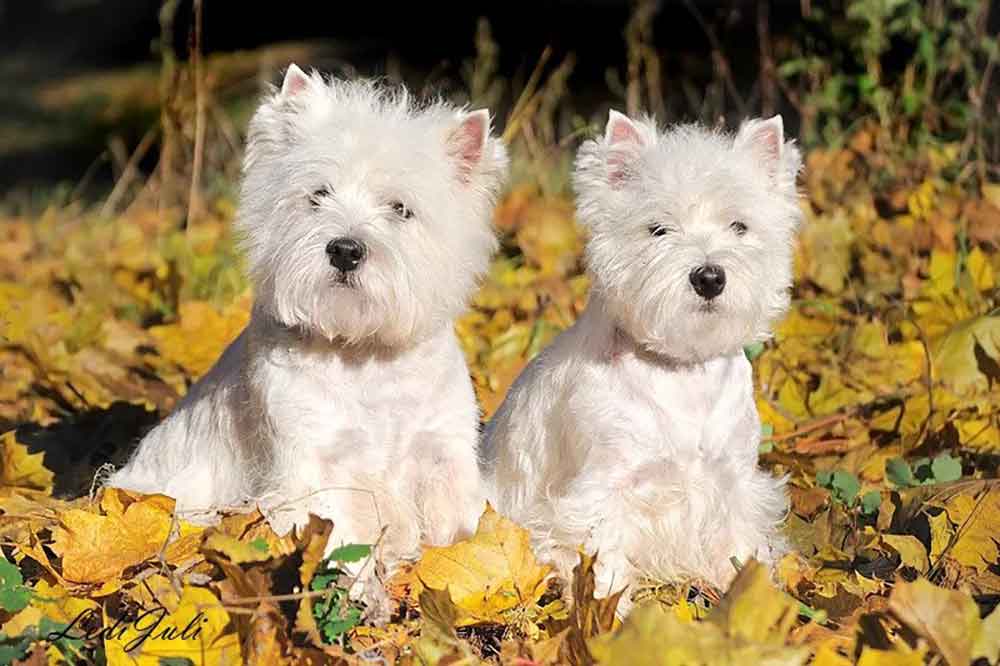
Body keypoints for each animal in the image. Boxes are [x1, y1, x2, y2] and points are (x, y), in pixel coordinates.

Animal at [111, 65, 508, 568]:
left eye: (401, 208)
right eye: (318, 194)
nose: (345, 250)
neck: (364, 354)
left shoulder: (442, 453)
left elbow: (467, 526)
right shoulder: (312, 461)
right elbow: (337, 533)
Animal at [484, 110, 804, 608]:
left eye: (739, 226)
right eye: (658, 229)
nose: (709, 277)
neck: (683, 371)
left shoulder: (733, 478)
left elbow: (739, 542)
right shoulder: (605, 487)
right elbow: (604, 563)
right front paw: (613, 616)